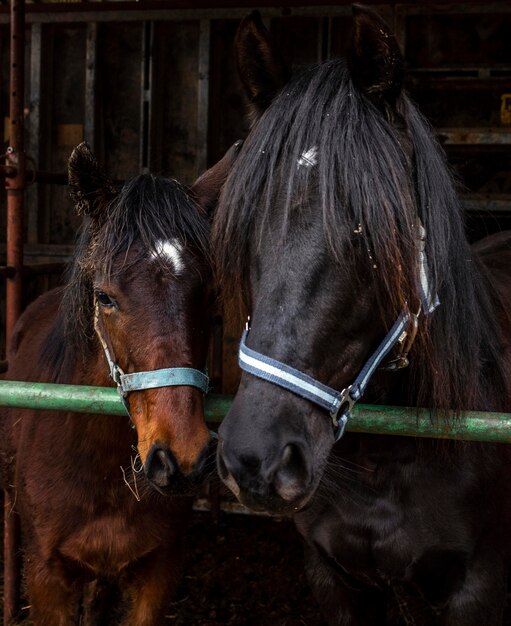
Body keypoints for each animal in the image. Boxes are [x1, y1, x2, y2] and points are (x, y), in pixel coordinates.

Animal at [214, 6, 511, 624]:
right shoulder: (332, 578)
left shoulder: (477, 588)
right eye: (248, 230)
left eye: (367, 235)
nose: (255, 457)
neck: (385, 459)